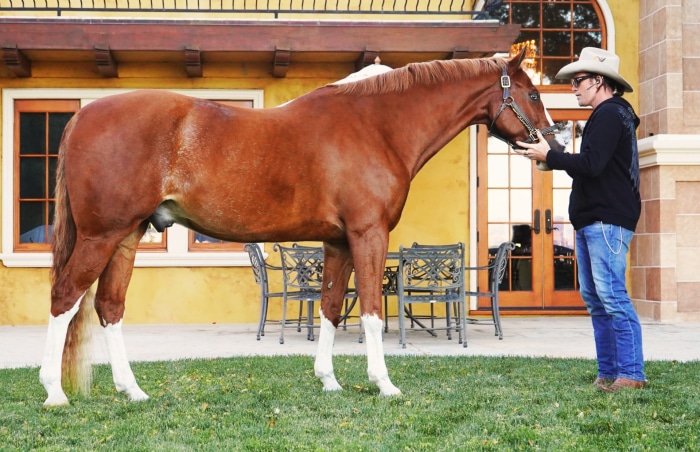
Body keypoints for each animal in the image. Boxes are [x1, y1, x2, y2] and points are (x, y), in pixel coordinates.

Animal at [39, 49, 564, 406]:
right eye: (532, 93)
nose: (551, 146)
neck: (378, 127)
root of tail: (83, 114)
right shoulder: (369, 234)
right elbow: (371, 310)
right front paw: (384, 383)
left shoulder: (338, 241)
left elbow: (331, 307)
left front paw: (328, 380)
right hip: (102, 235)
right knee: (66, 297)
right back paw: (54, 392)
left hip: (127, 235)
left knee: (109, 306)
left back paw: (132, 391)